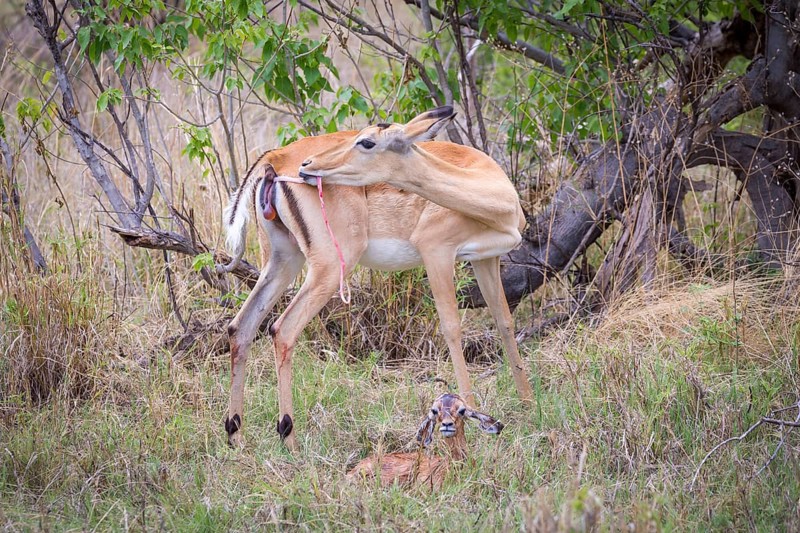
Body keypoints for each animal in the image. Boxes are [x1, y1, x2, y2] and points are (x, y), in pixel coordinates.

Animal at [221, 106, 532, 451]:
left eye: (367, 141)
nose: (308, 166)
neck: (490, 188)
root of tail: (275, 156)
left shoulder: (485, 258)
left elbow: (504, 322)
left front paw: (528, 403)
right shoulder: (437, 252)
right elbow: (452, 328)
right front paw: (470, 413)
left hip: (283, 260)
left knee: (241, 327)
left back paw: (236, 434)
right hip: (329, 267)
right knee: (282, 330)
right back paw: (288, 437)